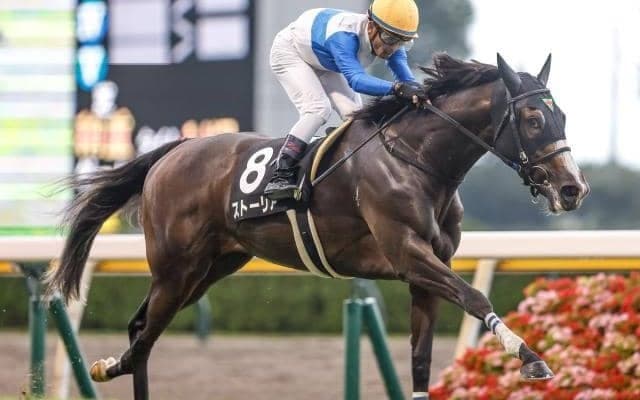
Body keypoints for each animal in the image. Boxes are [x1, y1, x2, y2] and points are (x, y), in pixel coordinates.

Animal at [46, 53, 589, 399]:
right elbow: (476, 297)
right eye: (533, 117)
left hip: (210, 269)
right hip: (175, 270)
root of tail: (171, 153)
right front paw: (529, 356)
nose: (572, 188)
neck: (418, 161)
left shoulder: (426, 273)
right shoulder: (408, 253)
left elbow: (420, 359)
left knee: (142, 332)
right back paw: (110, 365)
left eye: (563, 114)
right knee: (143, 340)